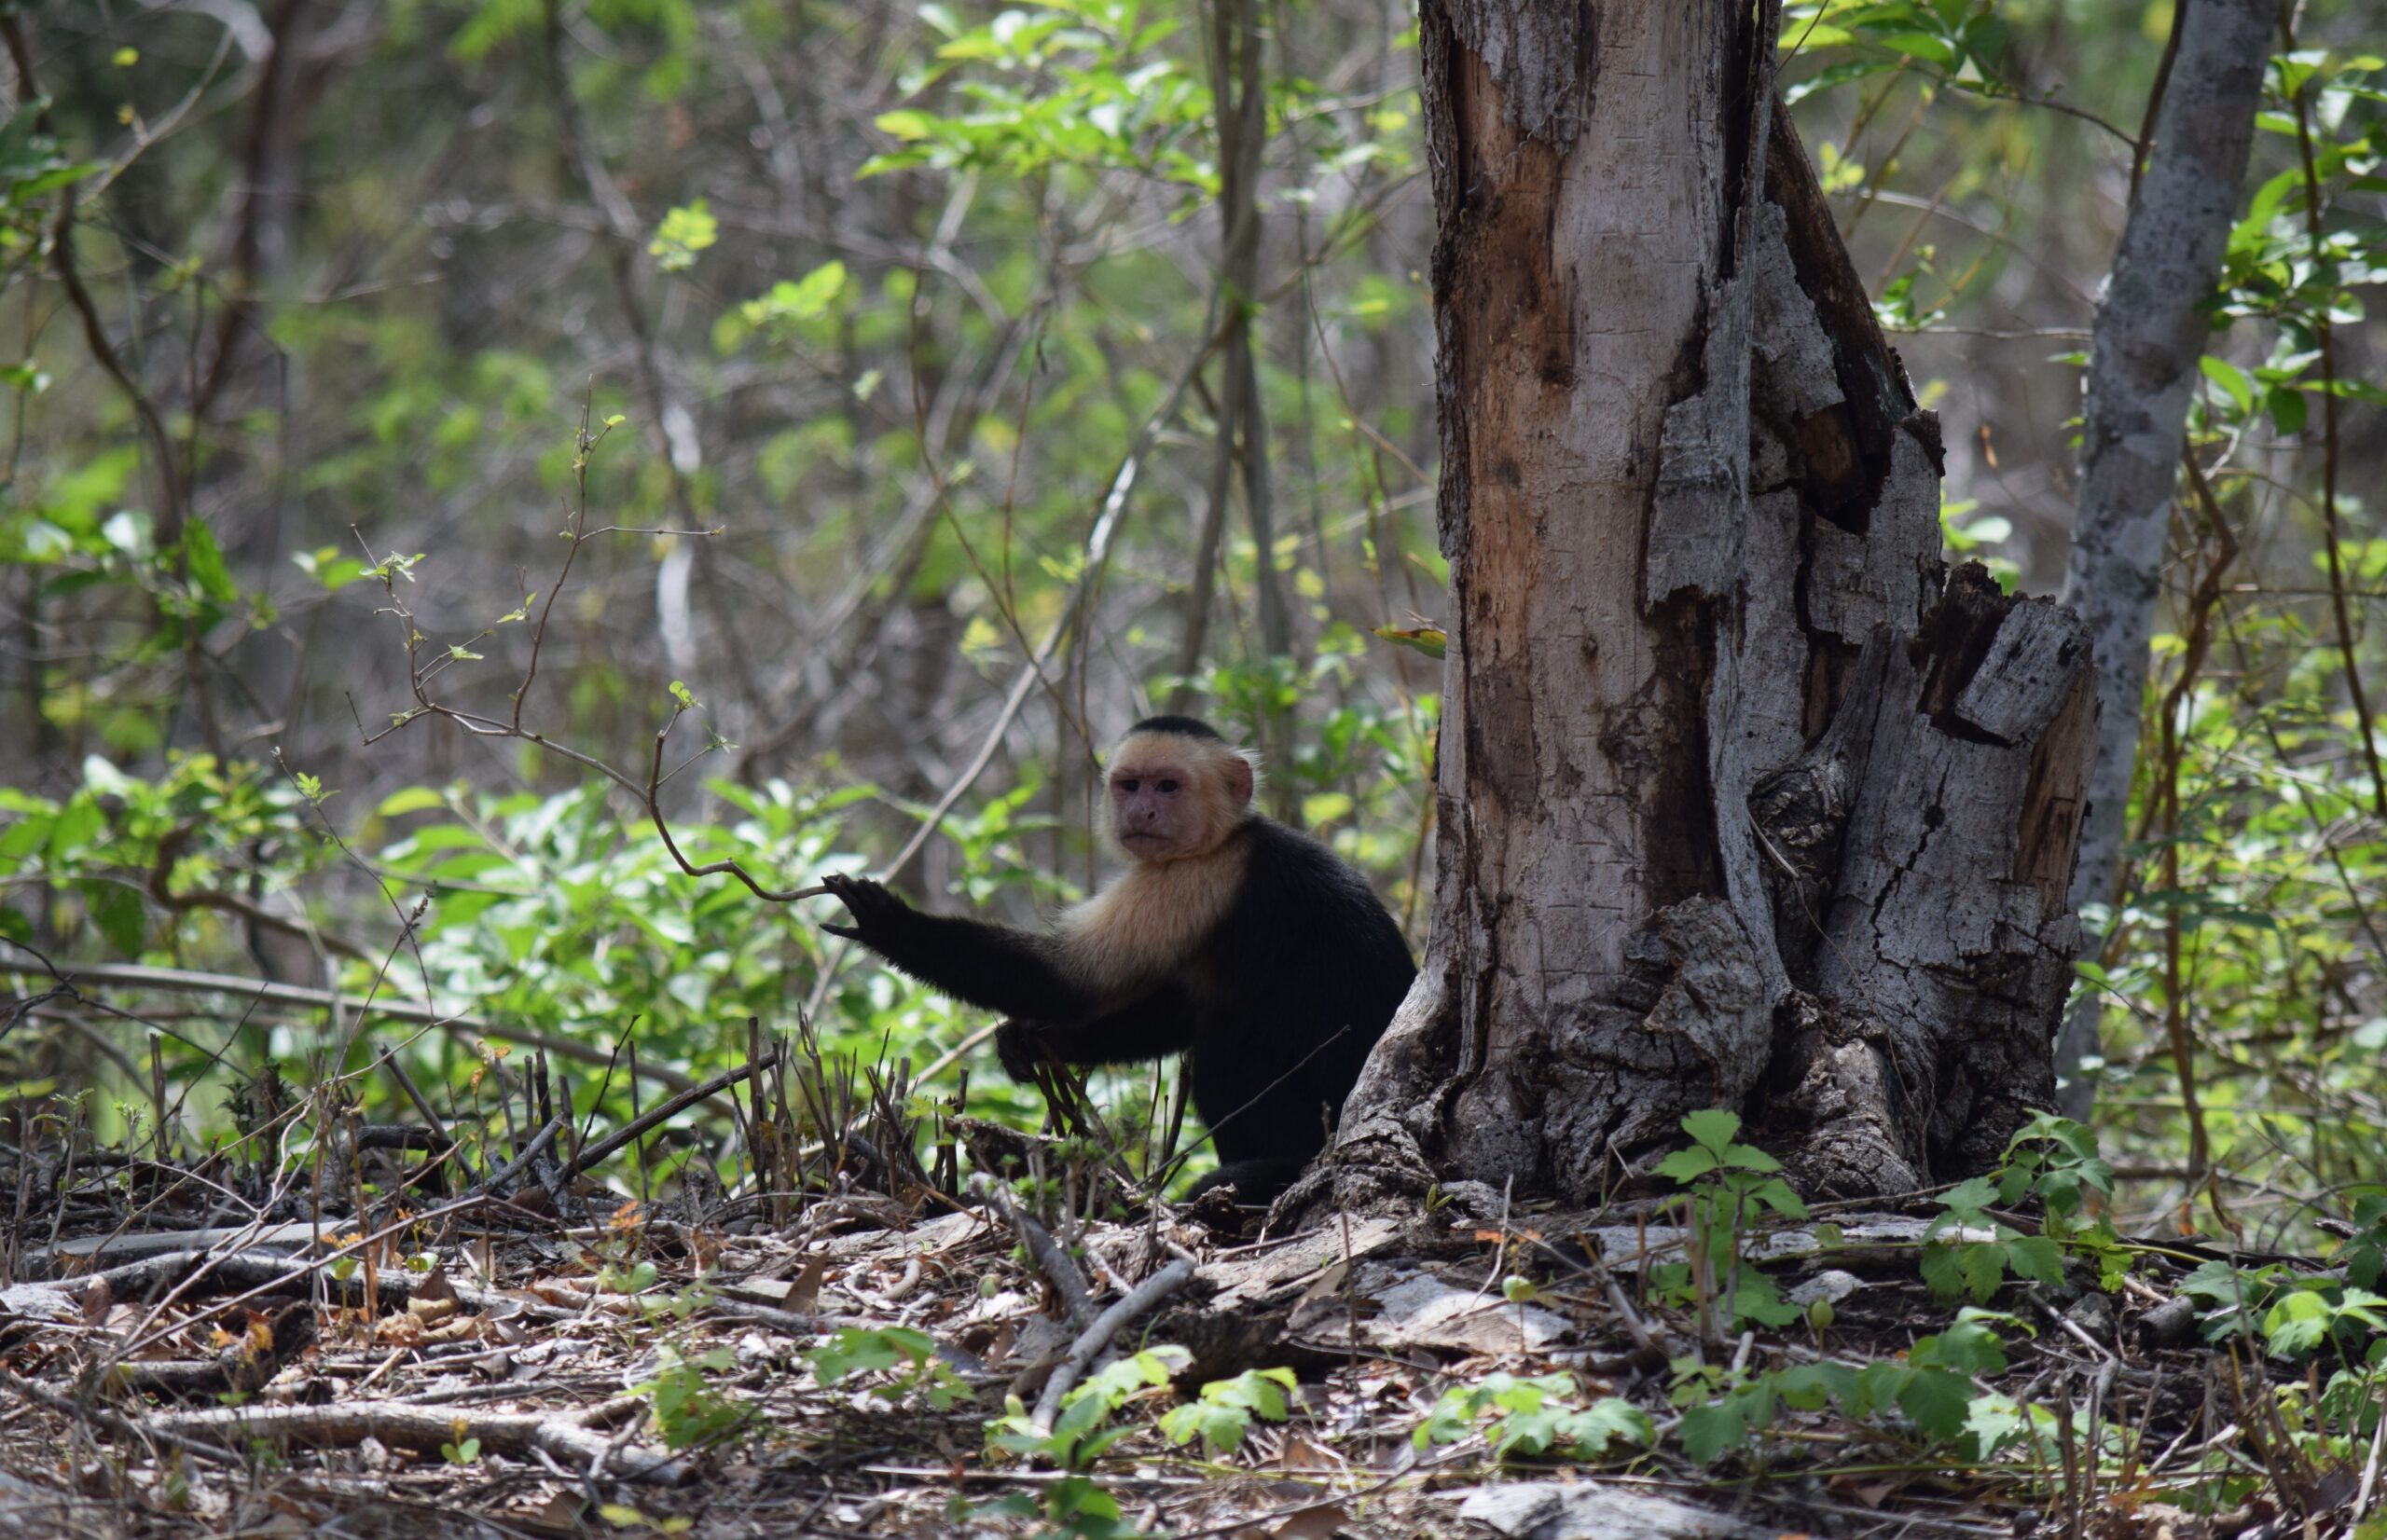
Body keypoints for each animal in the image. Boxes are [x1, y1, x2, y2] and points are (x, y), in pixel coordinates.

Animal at [821, 707, 1413, 1203]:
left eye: (1168, 786)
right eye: (1130, 785)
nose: (1143, 810)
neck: (1223, 837)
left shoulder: (1195, 879)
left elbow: (1068, 982)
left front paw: (889, 924)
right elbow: (1169, 1012)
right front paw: (1031, 1041)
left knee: (1222, 1041)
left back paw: (1266, 1173)